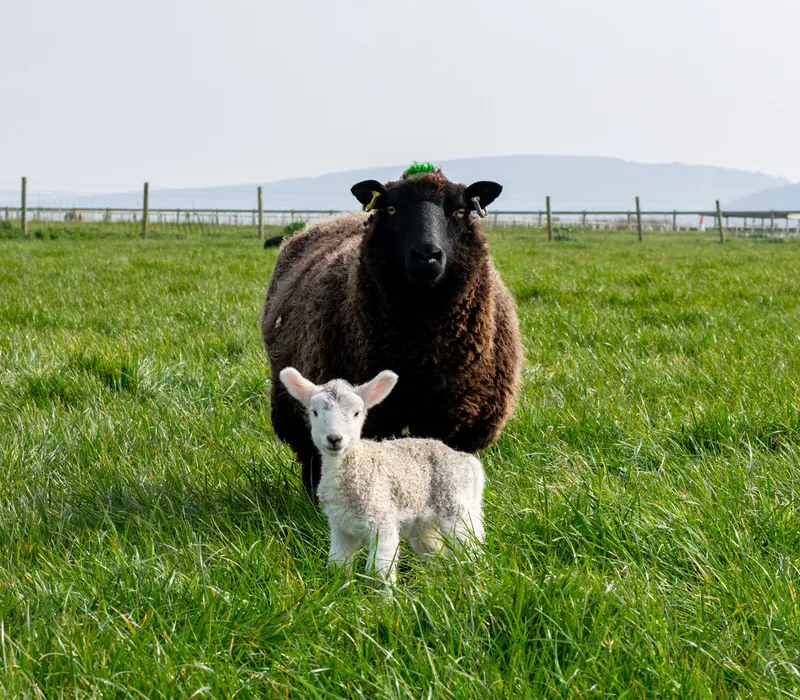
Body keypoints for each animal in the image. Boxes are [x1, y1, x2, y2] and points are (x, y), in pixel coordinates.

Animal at [261, 165, 522, 499]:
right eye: (391, 209)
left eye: (461, 211)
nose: (427, 255)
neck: (422, 352)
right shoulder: (377, 417)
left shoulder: (457, 419)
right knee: (311, 454)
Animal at [279, 366, 484, 586]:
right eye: (315, 412)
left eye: (357, 413)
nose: (335, 439)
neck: (358, 467)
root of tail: (465, 460)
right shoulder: (340, 527)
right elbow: (338, 563)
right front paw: (340, 587)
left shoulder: (382, 521)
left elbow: (379, 569)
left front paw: (385, 594)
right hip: (423, 522)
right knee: (435, 552)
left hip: (455, 505)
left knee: (469, 544)